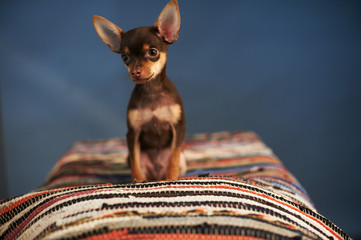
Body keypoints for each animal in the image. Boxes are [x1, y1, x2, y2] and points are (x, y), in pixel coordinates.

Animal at [91, 0, 187, 181]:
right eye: (124, 57)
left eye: (152, 52)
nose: (134, 72)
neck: (152, 91)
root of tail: (156, 175)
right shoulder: (133, 133)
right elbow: (136, 165)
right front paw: (137, 182)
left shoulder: (178, 128)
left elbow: (173, 159)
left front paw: (171, 180)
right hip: (130, 157)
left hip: (183, 160)